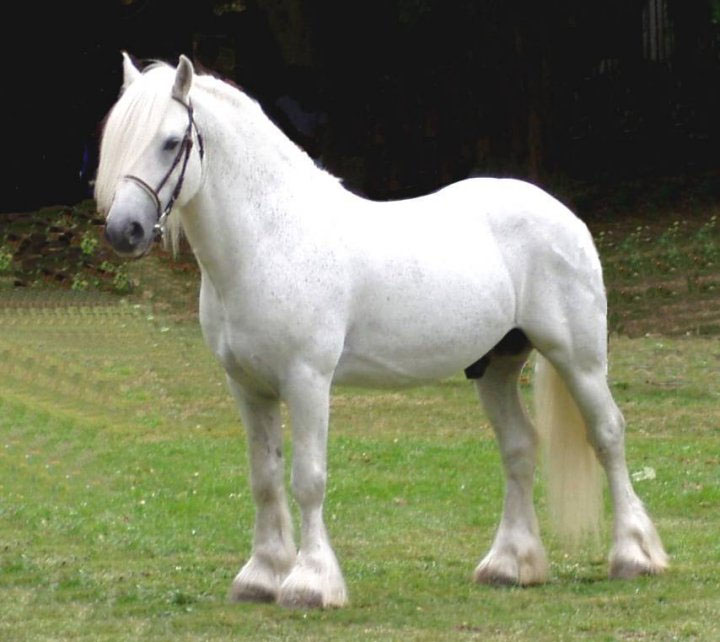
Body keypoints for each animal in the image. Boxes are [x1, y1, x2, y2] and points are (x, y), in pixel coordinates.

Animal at [96, 54, 668, 608]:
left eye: (172, 141)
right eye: (115, 142)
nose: (124, 231)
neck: (271, 239)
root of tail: (564, 215)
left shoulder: (307, 380)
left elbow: (308, 479)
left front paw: (310, 584)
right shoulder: (248, 387)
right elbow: (264, 479)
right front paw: (260, 577)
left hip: (578, 359)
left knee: (608, 435)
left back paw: (634, 557)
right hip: (496, 365)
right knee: (520, 447)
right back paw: (509, 566)